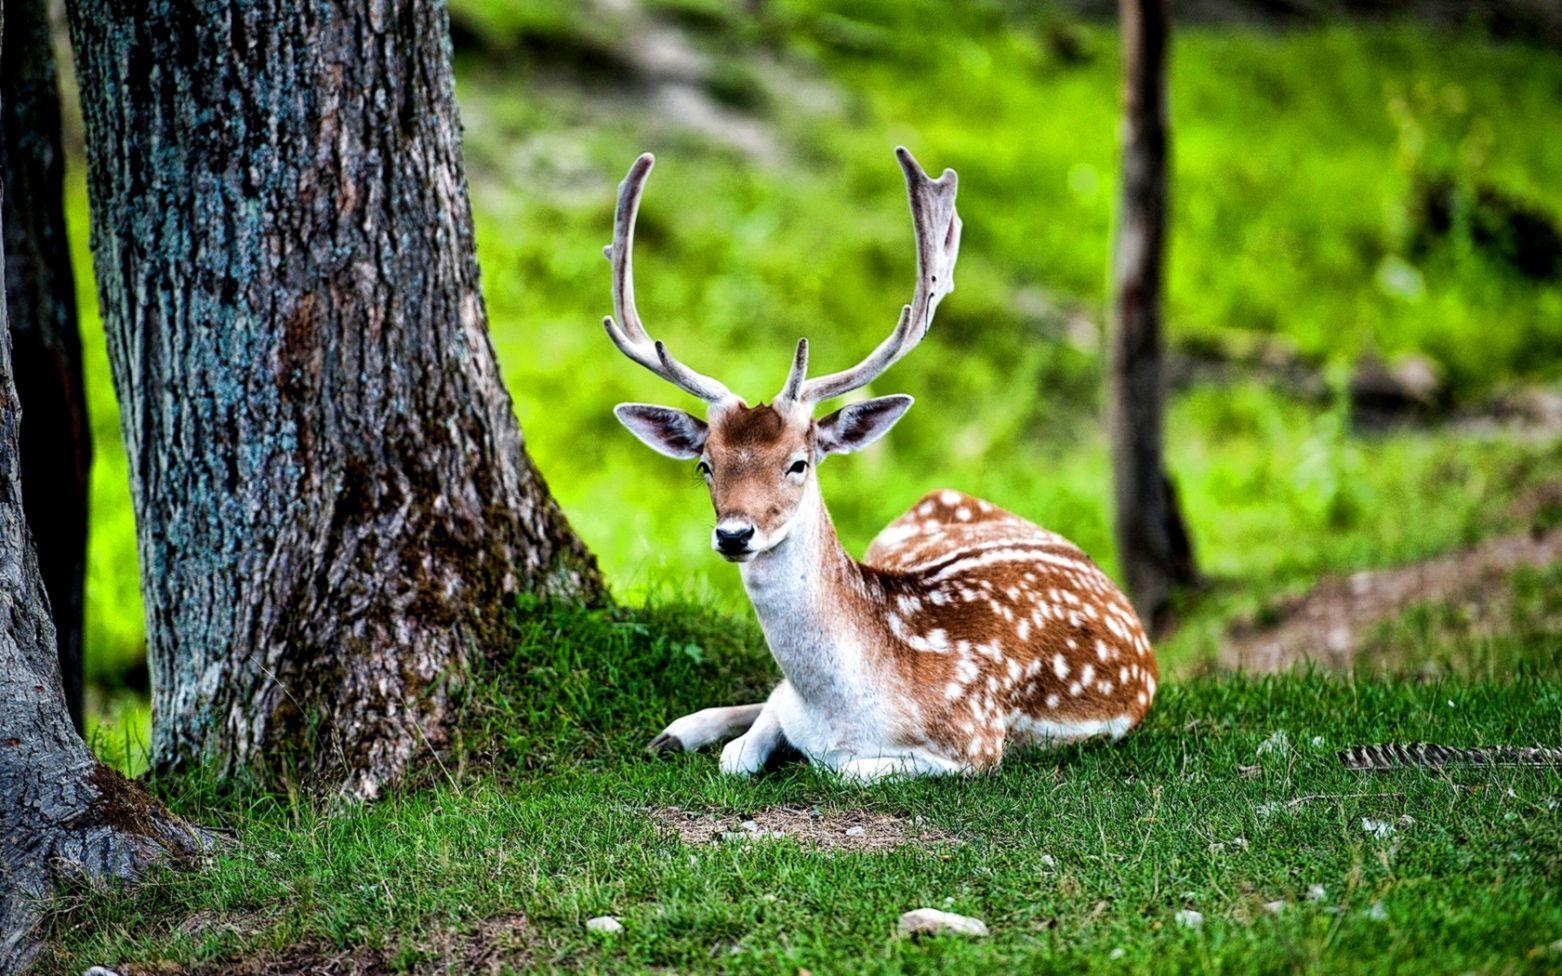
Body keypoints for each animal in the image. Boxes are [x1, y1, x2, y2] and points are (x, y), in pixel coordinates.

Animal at [601, 148, 1158, 782]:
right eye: (705, 465)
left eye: (799, 464)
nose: (735, 534)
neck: (842, 706)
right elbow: (742, 750)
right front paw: (699, 733)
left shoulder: (975, 743)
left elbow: (837, 766)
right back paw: (677, 730)